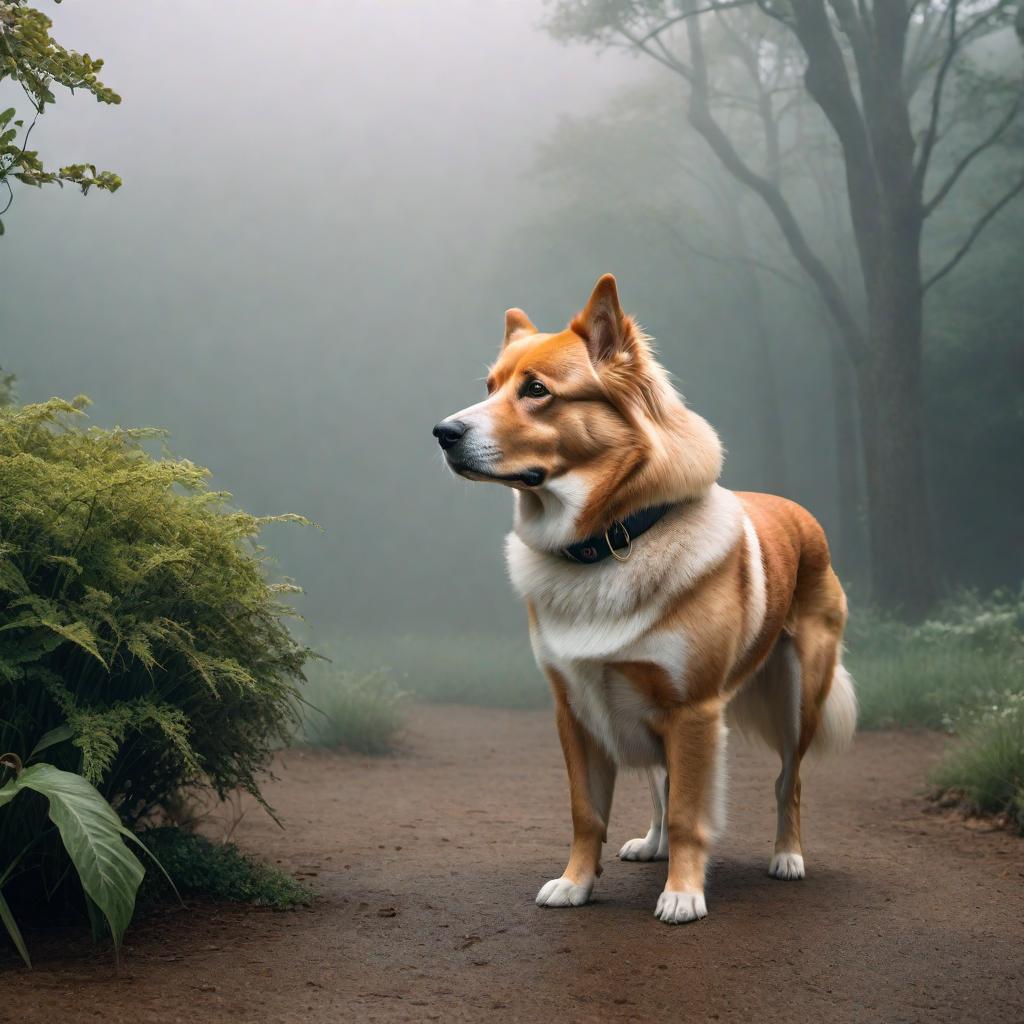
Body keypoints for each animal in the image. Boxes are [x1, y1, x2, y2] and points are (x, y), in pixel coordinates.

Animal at [432, 276, 856, 925]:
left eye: (536, 391)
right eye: (489, 388)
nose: (443, 433)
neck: (611, 540)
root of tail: (799, 511)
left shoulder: (694, 709)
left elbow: (689, 811)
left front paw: (683, 893)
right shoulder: (575, 709)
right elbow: (589, 811)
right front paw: (576, 884)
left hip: (798, 697)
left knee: (789, 781)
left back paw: (786, 857)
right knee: (660, 781)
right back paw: (652, 846)